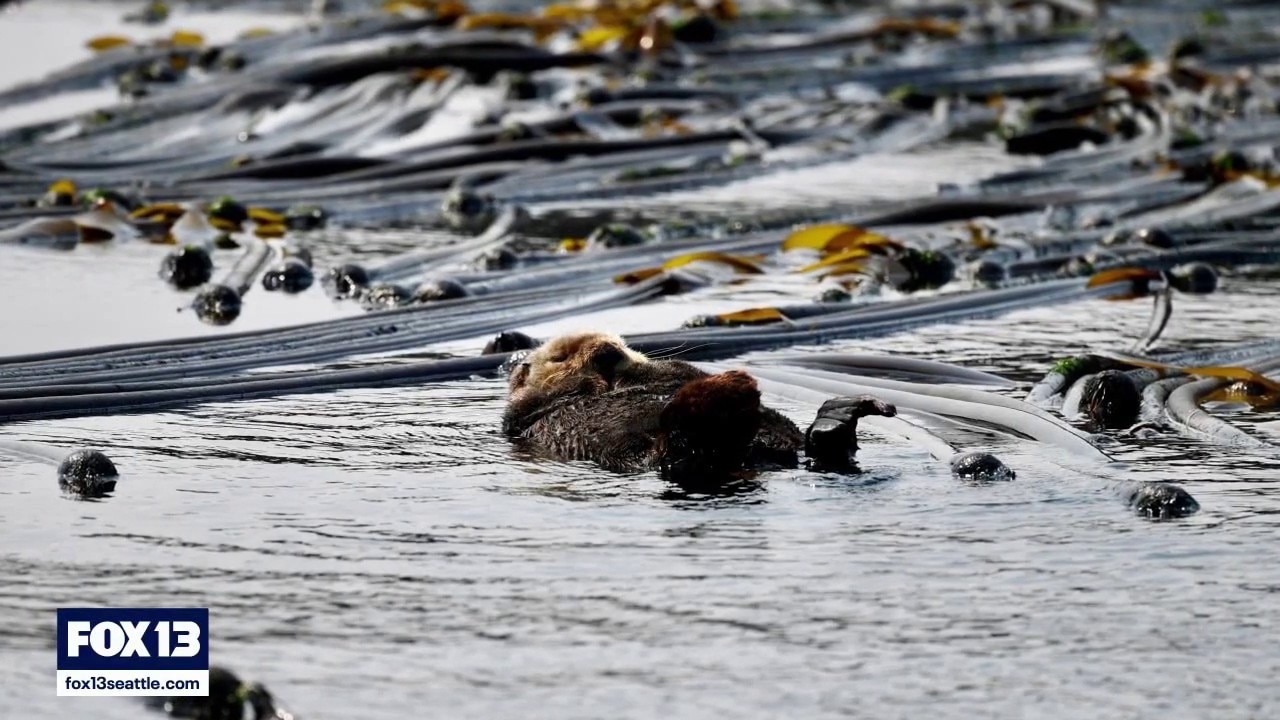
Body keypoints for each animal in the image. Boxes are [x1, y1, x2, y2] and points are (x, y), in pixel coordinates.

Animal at [501, 332, 897, 477]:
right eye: (560, 356)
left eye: (620, 341)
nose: (606, 352)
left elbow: (676, 371)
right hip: (672, 453)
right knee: (684, 447)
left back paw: (838, 414)